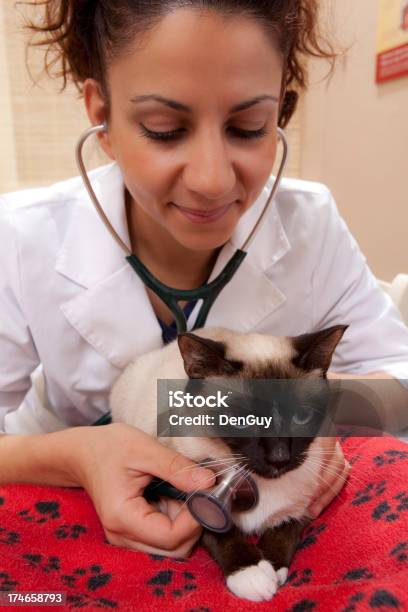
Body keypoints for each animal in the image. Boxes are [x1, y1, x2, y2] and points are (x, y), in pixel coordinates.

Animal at [110, 326, 346, 604]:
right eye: (243, 420)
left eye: (301, 417)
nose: (279, 457)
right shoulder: (184, 490)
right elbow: (219, 530)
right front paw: (252, 574)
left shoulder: (304, 502)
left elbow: (284, 529)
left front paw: (273, 569)